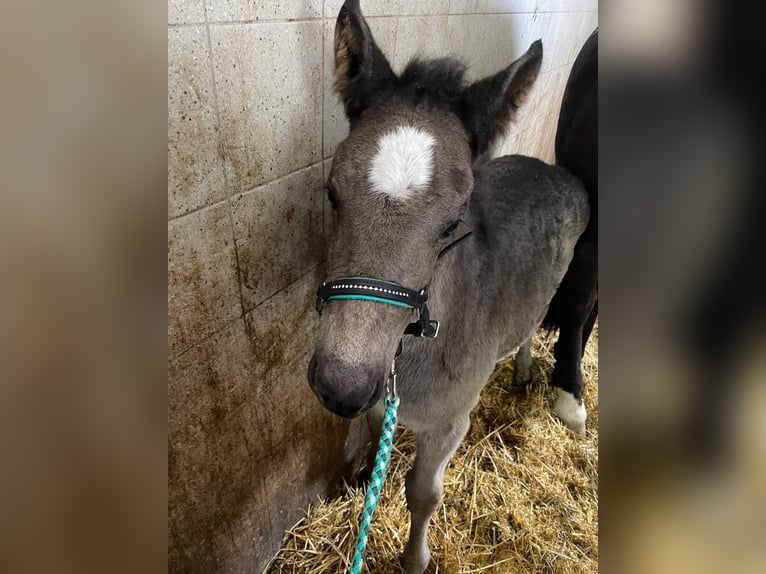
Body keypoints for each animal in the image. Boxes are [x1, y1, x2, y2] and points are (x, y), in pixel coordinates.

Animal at [308, 2, 592, 572]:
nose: (341, 385)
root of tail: (552, 170)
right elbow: (373, 453)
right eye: (331, 193)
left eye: (453, 220)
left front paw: (414, 560)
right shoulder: (382, 402)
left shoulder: (449, 423)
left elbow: (423, 494)